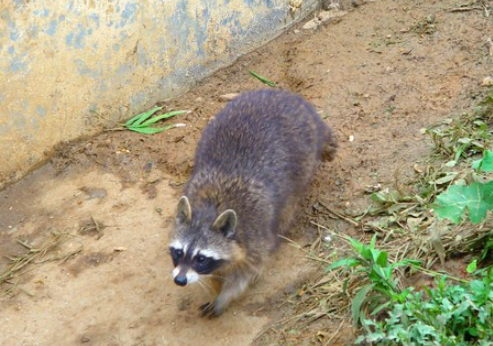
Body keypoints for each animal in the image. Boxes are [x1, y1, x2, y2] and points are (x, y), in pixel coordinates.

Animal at [167, 89, 336, 316]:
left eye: (201, 258)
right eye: (178, 252)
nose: (180, 280)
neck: (211, 208)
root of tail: (287, 96)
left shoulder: (255, 236)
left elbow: (246, 273)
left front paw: (225, 295)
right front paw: (215, 283)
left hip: (303, 160)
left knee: (287, 207)